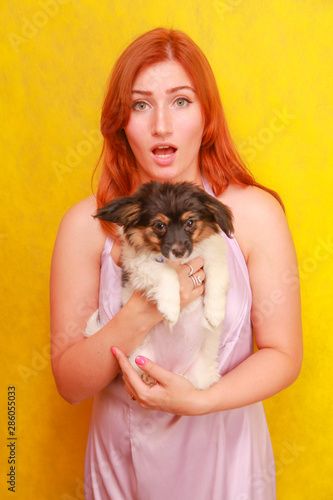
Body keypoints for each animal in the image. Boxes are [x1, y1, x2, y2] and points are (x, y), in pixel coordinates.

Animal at [84, 182, 232, 388]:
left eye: (190, 222)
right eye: (159, 226)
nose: (179, 251)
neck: (178, 261)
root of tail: (172, 368)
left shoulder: (213, 254)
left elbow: (216, 278)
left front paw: (215, 314)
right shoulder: (141, 264)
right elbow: (167, 273)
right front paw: (171, 309)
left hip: (199, 377)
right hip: (138, 358)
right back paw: (148, 378)